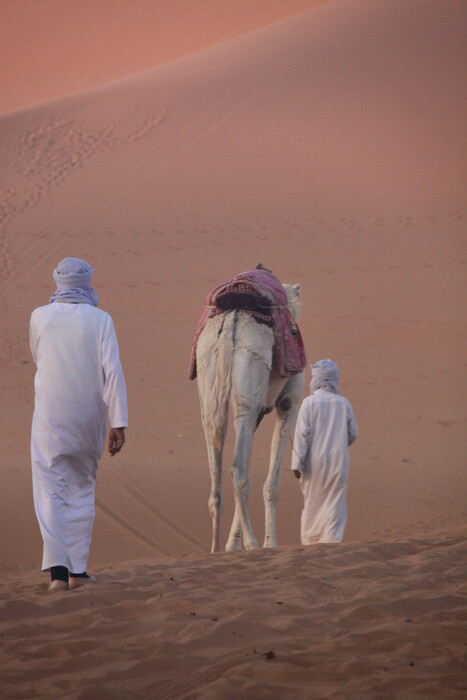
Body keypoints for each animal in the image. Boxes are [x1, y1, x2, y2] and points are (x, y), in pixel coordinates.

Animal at [191, 268, 306, 552]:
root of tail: (229, 328)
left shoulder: (257, 413)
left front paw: (232, 545)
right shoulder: (290, 402)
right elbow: (272, 483)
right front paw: (270, 543)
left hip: (210, 385)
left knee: (218, 470)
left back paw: (215, 548)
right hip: (249, 377)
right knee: (238, 470)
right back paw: (253, 543)